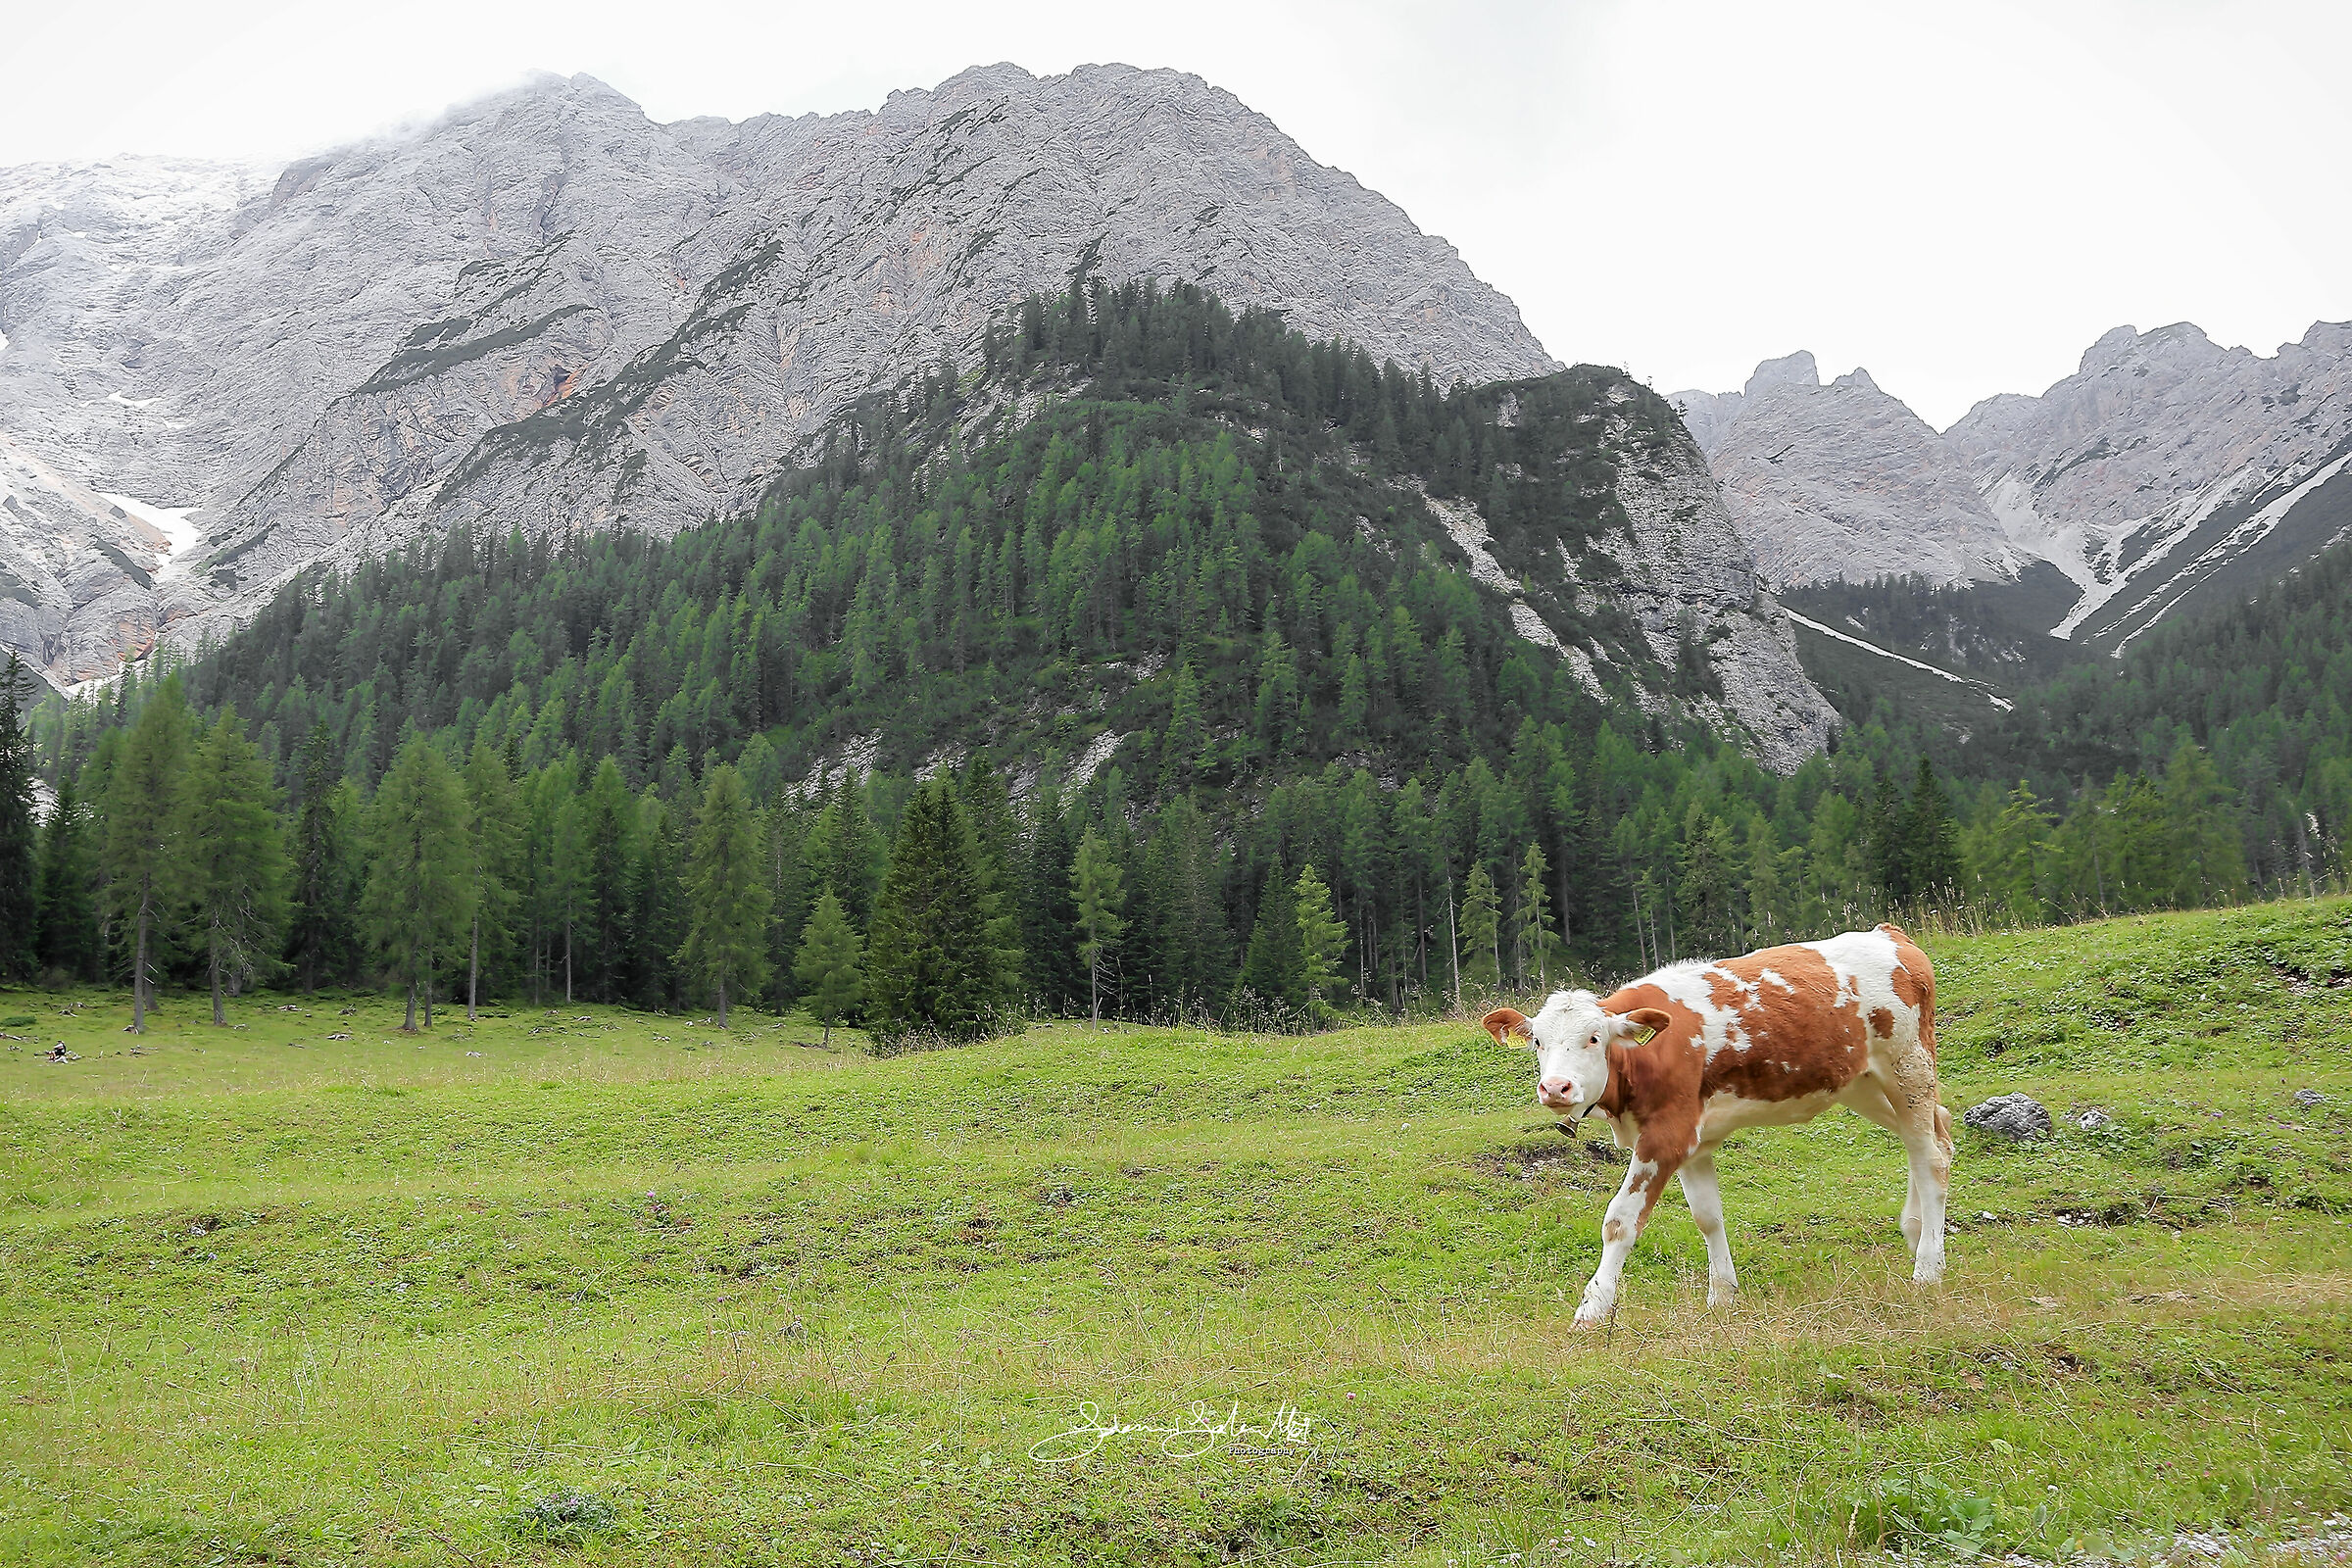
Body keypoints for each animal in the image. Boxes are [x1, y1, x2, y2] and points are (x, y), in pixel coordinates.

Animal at [1481, 923, 1953, 1327]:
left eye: (1594, 1038)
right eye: (1537, 1041)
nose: (1555, 1087)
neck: (1641, 1062)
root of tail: (1890, 934)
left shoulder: (1665, 1136)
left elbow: (1620, 1221)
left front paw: (1592, 1310)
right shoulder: (1693, 1140)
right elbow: (1707, 1216)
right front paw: (1722, 1296)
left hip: (1908, 1065)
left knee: (1929, 1157)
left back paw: (1927, 1269)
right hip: (1864, 1084)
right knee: (1934, 1137)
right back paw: (1916, 1233)